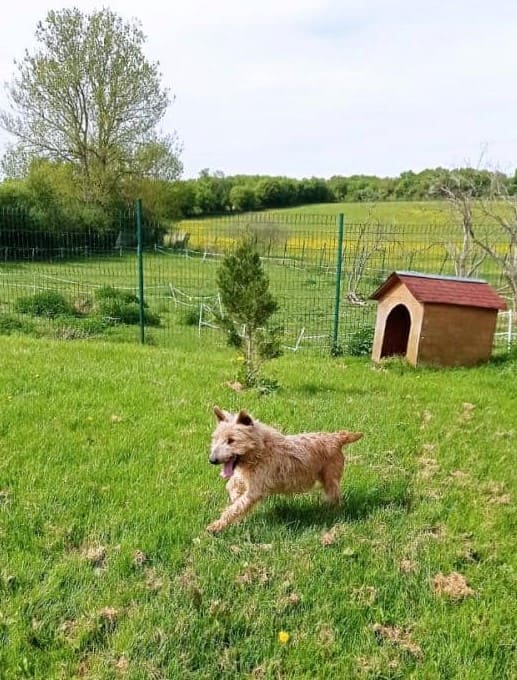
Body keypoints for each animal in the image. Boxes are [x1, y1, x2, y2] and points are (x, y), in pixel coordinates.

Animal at [207, 406, 362, 532]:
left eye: (231, 440)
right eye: (216, 439)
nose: (212, 460)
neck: (260, 449)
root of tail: (336, 437)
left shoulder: (255, 489)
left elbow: (236, 507)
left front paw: (216, 525)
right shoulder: (247, 476)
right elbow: (231, 485)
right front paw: (234, 497)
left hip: (330, 478)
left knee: (335, 497)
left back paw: (331, 514)